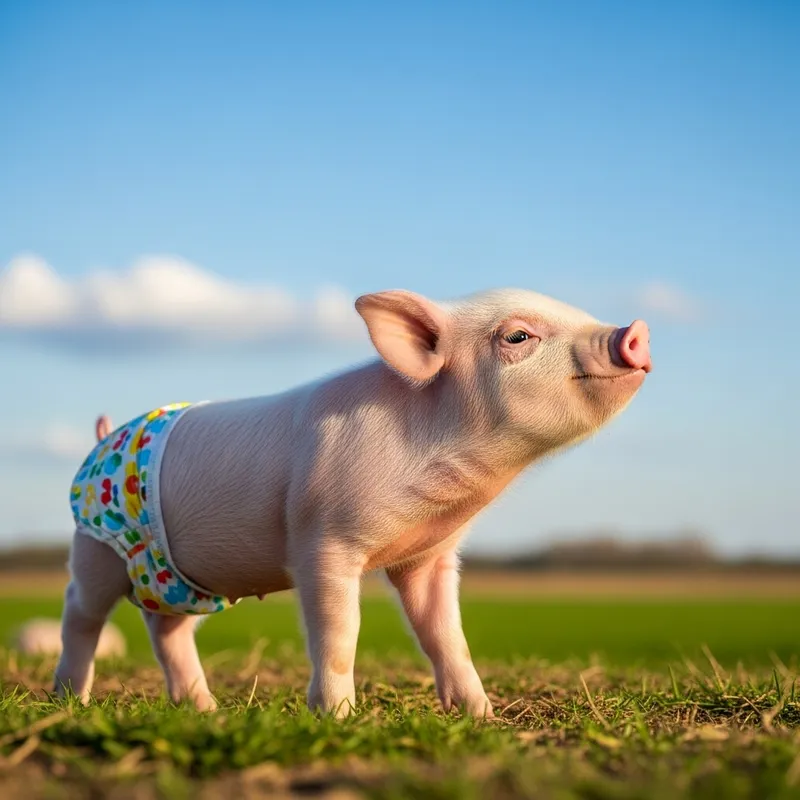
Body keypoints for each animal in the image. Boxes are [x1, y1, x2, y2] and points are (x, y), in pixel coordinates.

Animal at [54, 287, 651, 717]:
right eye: (518, 335)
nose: (635, 331)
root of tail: (103, 439)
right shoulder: (323, 539)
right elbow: (339, 632)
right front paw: (337, 717)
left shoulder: (430, 557)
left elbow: (445, 636)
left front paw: (480, 716)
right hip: (96, 546)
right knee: (80, 612)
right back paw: (69, 699)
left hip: (183, 580)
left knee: (167, 630)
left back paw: (206, 710)